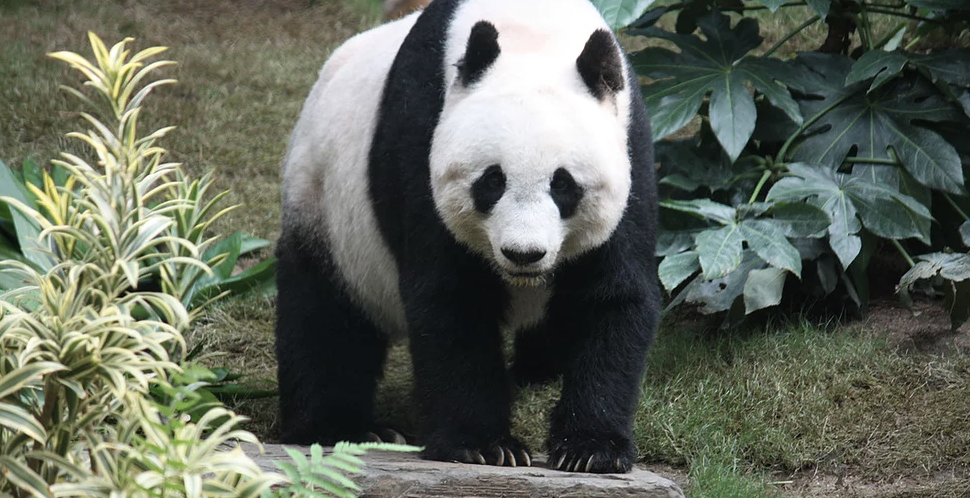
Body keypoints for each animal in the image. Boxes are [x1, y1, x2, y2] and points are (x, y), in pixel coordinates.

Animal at [275, 0, 659, 474]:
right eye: (492, 181)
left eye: (563, 185)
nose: (524, 254)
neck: (534, 33)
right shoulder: (420, 135)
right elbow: (452, 299)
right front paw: (484, 446)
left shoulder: (631, 148)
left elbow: (611, 296)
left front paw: (590, 449)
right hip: (325, 204)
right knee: (325, 316)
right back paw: (343, 428)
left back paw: (535, 371)